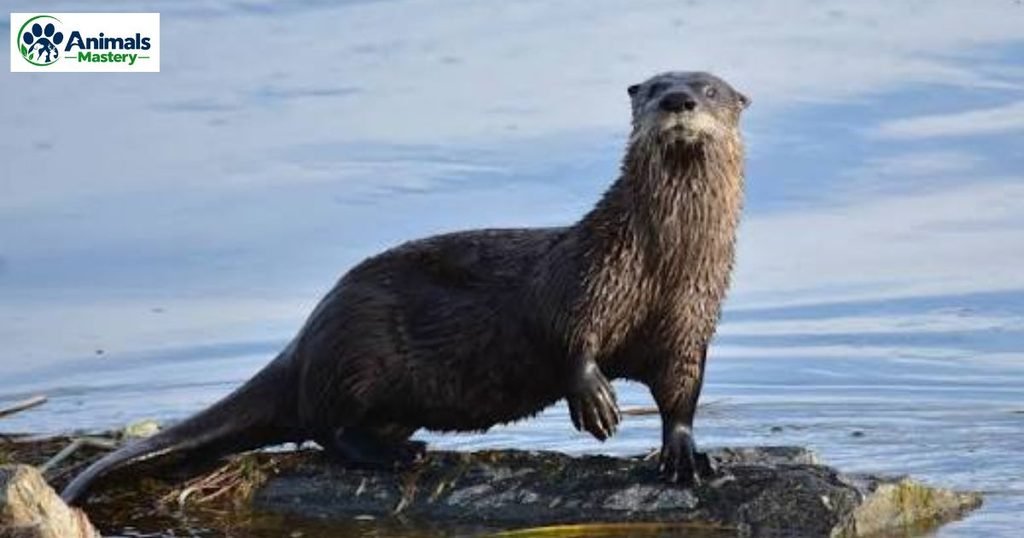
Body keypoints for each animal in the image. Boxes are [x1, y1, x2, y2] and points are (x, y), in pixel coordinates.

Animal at [62, 71, 750, 504]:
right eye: (654, 87)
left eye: (709, 89)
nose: (678, 100)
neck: (661, 266)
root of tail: (306, 338)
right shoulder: (589, 275)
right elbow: (565, 334)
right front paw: (596, 400)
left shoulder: (691, 319)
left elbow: (682, 390)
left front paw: (685, 454)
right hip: (358, 352)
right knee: (328, 428)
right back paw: (399, 454)